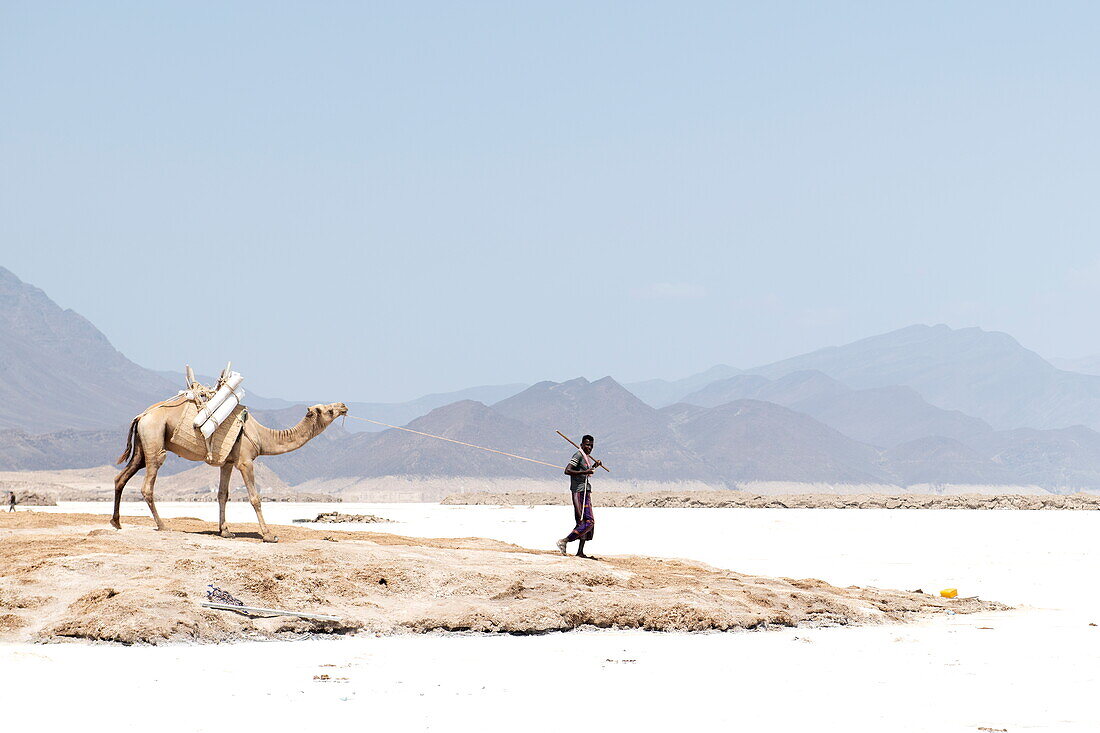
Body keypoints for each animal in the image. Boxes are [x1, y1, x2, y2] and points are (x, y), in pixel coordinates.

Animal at [111, 394, 343, 541]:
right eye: (329, 410)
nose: (343, 406)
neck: (262, 436)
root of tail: (141, 416)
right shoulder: (245, 461)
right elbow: (255, 498)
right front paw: (269, 535)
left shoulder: (228, 463)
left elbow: (223, 494)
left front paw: (225, 531)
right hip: (154, 439)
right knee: (148, 483)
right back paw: (163, 526)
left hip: (142, 447)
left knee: (122, 476)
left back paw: (116, 522)